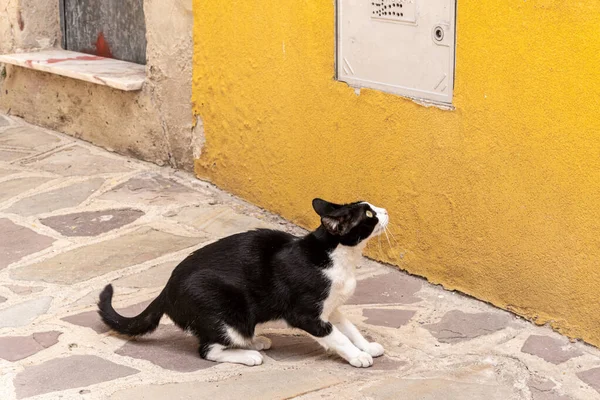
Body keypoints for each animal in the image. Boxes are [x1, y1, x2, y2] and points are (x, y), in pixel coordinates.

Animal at [98, 198, 390, 368]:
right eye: (368, 214)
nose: (386, 210)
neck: (338, 256)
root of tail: (165, 290)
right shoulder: (306, 314)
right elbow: (336, 336)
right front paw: (357, 356)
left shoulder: (332, 307)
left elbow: (349, 328)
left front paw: (366, 346)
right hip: (227, 312)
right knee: (208, 350)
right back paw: (249, 355)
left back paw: (255, 341)